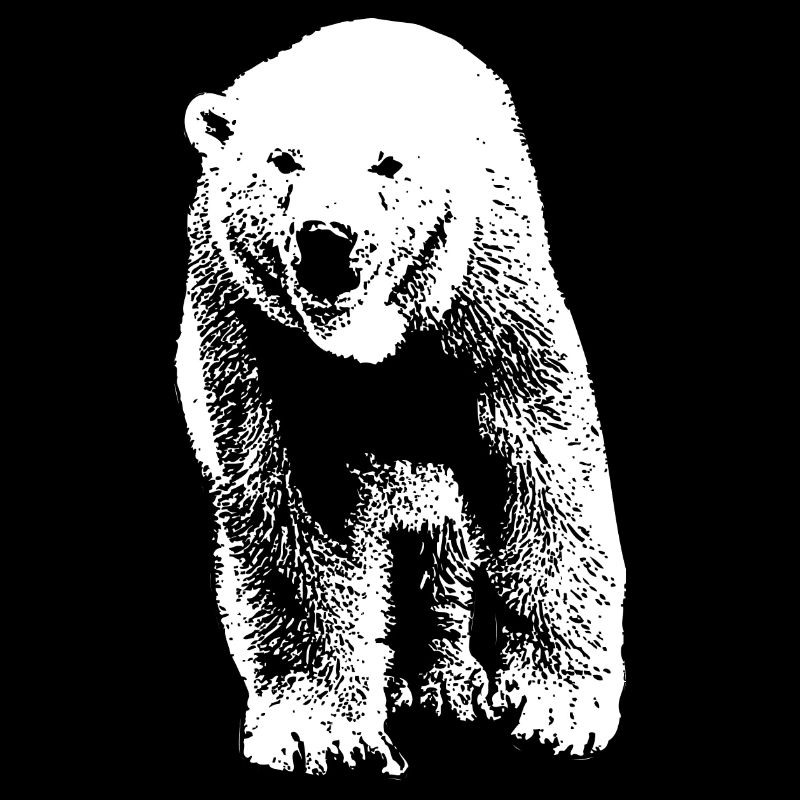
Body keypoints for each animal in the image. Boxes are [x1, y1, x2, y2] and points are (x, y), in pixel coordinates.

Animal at [177, 18, 625, 776]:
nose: (328, 238)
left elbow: (541, 467)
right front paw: (320, 734)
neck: (370, 345)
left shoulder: (485, 300)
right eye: (283, 160)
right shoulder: (258, 335)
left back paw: (446, 683)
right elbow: (297, 505)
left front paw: (560, 712)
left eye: (387, 164)